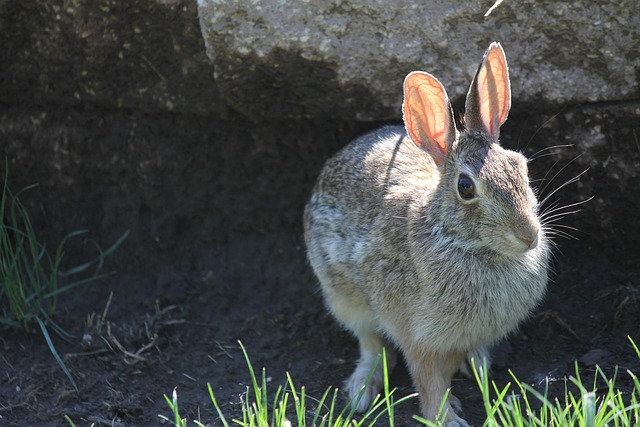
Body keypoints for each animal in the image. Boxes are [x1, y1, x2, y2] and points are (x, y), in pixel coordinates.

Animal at [303, 42, 550, 426]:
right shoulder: (417, 335)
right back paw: (361, 391)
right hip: (343, 296)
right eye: (465, 187)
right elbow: (428, 379)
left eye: (520, 166)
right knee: (371, 343)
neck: (458, 239)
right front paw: (447, 418)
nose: (529, 236)